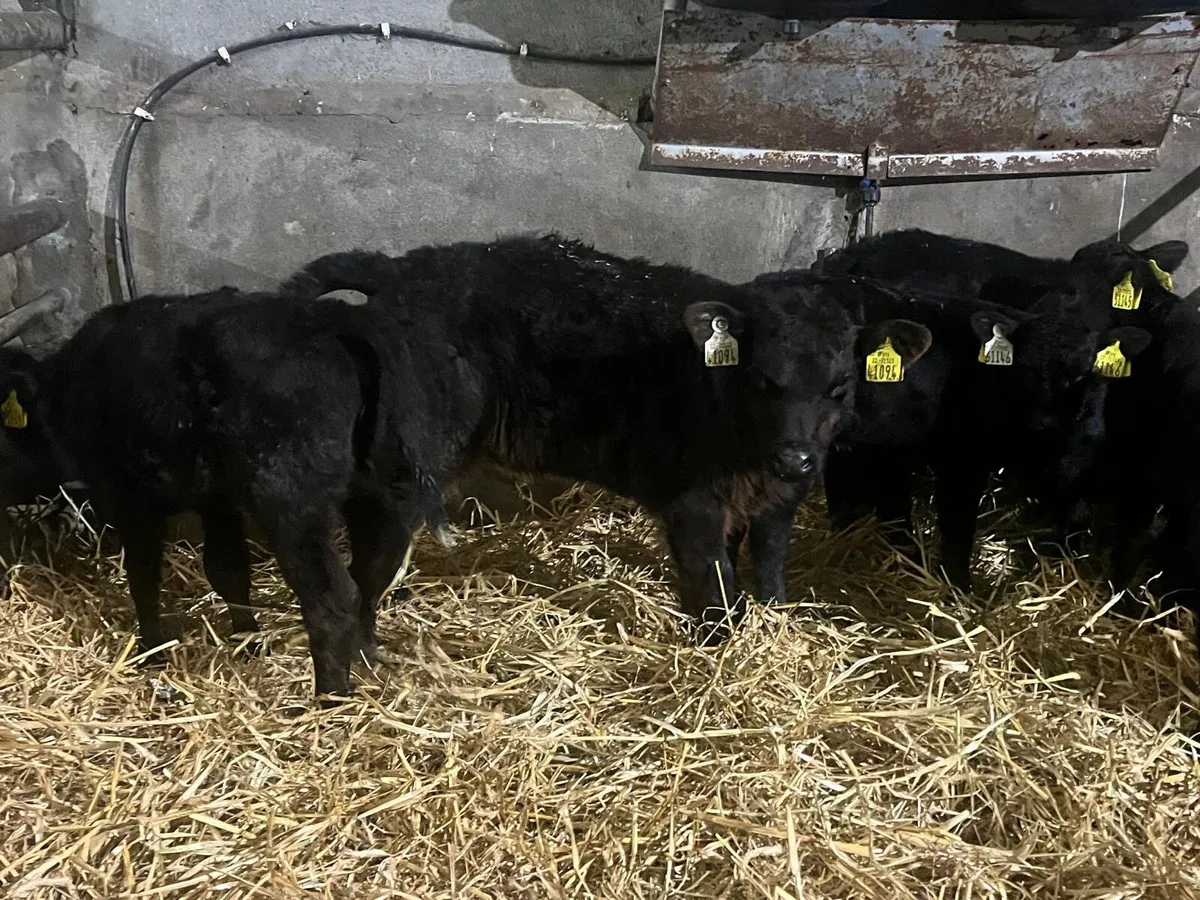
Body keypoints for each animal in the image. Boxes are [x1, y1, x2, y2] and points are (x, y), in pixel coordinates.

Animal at [282, 234, 932, 642]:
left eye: (841, 385)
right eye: (762, 379)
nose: (796, 457)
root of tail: (399, 267)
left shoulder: (779, 503)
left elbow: (769, 573)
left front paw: (770, 625)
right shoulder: (691, 503)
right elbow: (713, 584)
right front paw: (717, 650)